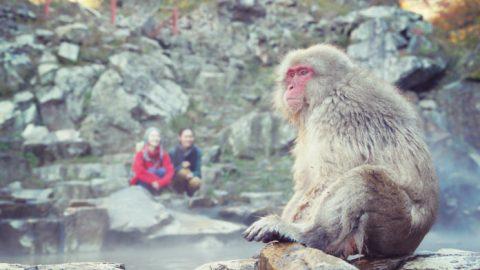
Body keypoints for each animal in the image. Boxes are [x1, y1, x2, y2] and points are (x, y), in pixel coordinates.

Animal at [244, 43, 438, 258]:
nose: (291, 87)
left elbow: (329, 177)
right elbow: (306, 183)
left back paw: (312, 235)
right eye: (291, 74)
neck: (330, 90)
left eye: (304, 73)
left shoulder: (337, 113)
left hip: (398, 229)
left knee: (364, 178)